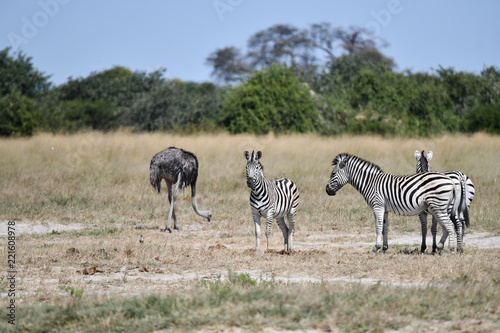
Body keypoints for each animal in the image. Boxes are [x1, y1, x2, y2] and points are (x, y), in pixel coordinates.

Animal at [324, 152, 460, 252]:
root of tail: (450, 180)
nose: (327, 190)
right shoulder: (385, 209)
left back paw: (449, 249)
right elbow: (385, 228)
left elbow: (378, 227)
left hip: (438, 207)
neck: (370, 183)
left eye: (333, 173)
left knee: (449, 225)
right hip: (437, 207)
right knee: (445, 226)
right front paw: (384, 248)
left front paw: (376, 248)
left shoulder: (377, 206)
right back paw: (441, 247)